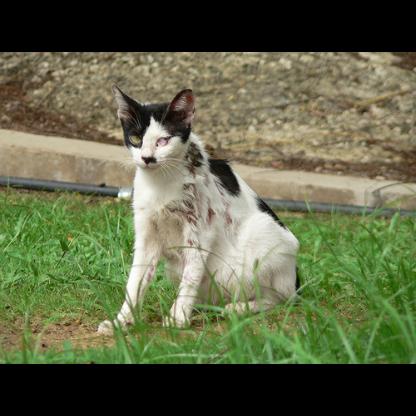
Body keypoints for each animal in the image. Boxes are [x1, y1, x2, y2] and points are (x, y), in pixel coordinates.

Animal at [97, 86, 300, 335]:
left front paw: (177, 318)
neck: (160, 182)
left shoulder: (200, 232)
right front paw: (121, 321)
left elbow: (191, 275)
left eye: (163, 140)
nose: (147, 158)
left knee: (280, 298)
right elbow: (135, 280)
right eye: (136, 138)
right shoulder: (147, 235)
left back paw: (239, 308)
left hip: (265, 237)